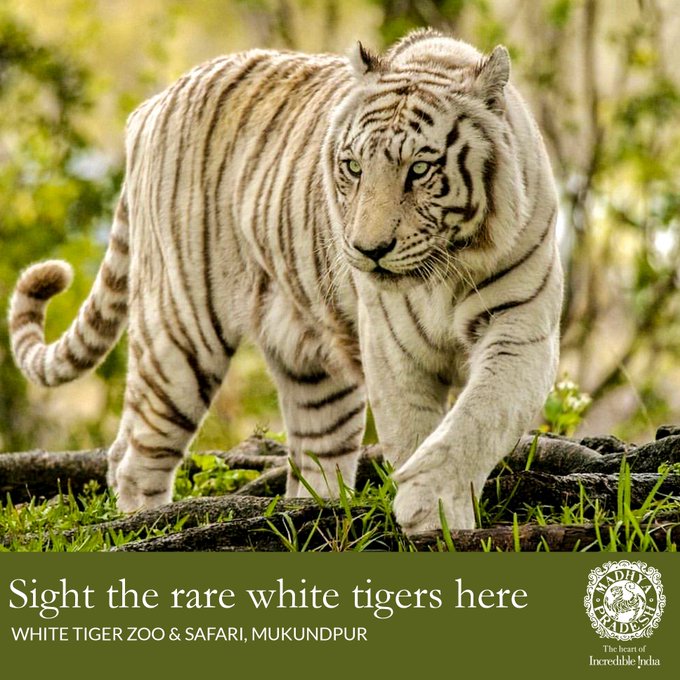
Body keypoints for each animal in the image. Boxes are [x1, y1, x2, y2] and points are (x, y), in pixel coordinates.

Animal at [8, 28, 562, 534]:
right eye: (353, 166)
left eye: (421, 169)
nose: (368, 250)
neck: (448, 265)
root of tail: (152, 106)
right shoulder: (394, 347)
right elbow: (416, 430)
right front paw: (432, 518)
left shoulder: (520, 329)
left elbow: (479, 416)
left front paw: (431, 504)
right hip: (183, 333)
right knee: (135, 455)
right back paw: (145, 527)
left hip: (312, 370)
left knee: (312, 455)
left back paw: (312, 514)